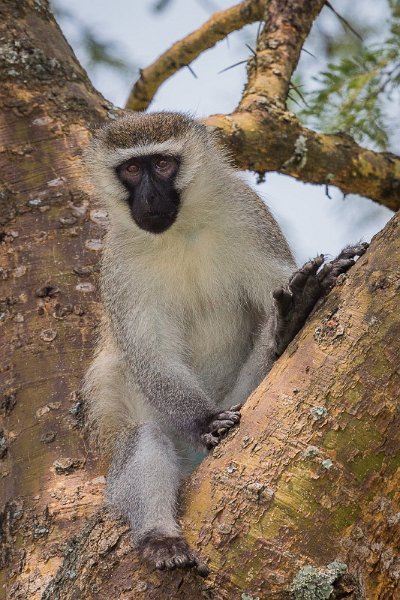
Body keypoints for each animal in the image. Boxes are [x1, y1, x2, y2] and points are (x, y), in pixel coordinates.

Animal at [83, 112, 366, 576]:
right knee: (144, 437)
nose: (149, 198)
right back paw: (160, 538)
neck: (179, 232)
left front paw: (306, 294)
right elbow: (150, 356)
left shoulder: (246, 214)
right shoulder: (120, 264)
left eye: (163, 164)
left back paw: (286, 326)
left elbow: (277, 279)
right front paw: (205, 420)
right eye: (131, 169)